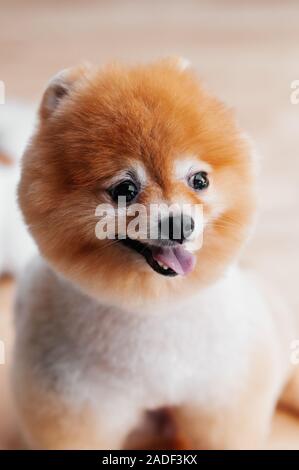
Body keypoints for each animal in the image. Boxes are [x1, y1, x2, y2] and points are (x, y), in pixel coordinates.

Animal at [11, 58, 298, 448]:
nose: (180, 224)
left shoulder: (225, 395)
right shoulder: (75, 407)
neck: (153, 309)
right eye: (125, 189)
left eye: (199, 180)